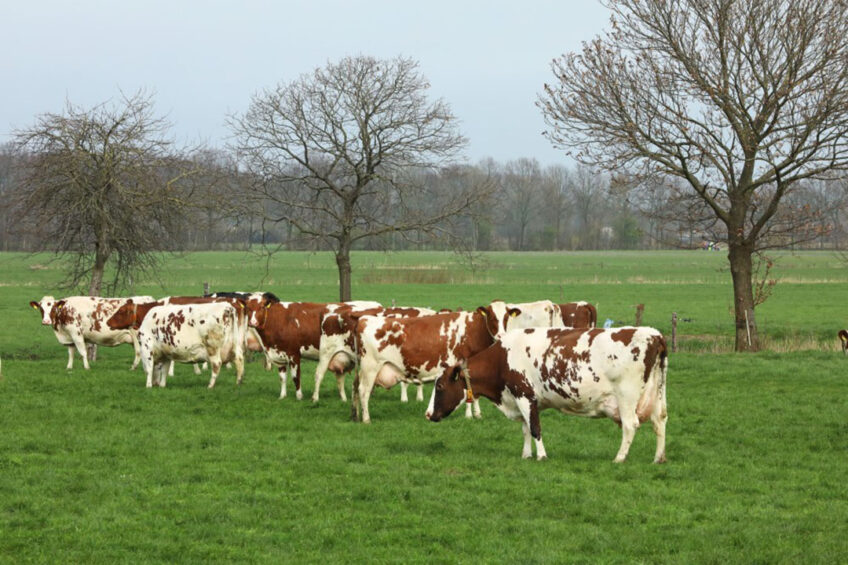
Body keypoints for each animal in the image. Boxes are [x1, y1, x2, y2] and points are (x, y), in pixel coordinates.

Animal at [243, 298, 380, 398]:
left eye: (261, 307)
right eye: (248, 308)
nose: (252, 323)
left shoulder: (294, 354)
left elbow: (296, 377)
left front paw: (299, 396)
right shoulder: (278, 354)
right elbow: (282, 378)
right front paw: (282, 396)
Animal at [428, 326, 664, 462]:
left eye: (439, 387)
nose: (428, 414)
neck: (502, 358)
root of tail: (654, 335)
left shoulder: (524, 395)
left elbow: (534, 428)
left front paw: (541, 455)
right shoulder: (523, 400)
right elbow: (525, 428)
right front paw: (526, 454)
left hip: (626, 396)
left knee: (630, 425)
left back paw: (620, 458)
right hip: (657, 394)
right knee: (660, 422)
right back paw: (659, 458)